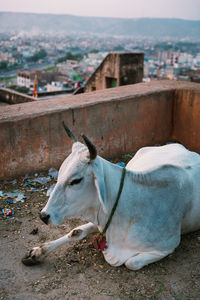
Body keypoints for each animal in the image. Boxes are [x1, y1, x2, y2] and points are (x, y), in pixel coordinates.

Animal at [21, 125, 200, 270]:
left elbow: (132, 262)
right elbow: (75, 232)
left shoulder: (168, 246)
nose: (44, 216)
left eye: (76, 180)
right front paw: (38, 251)